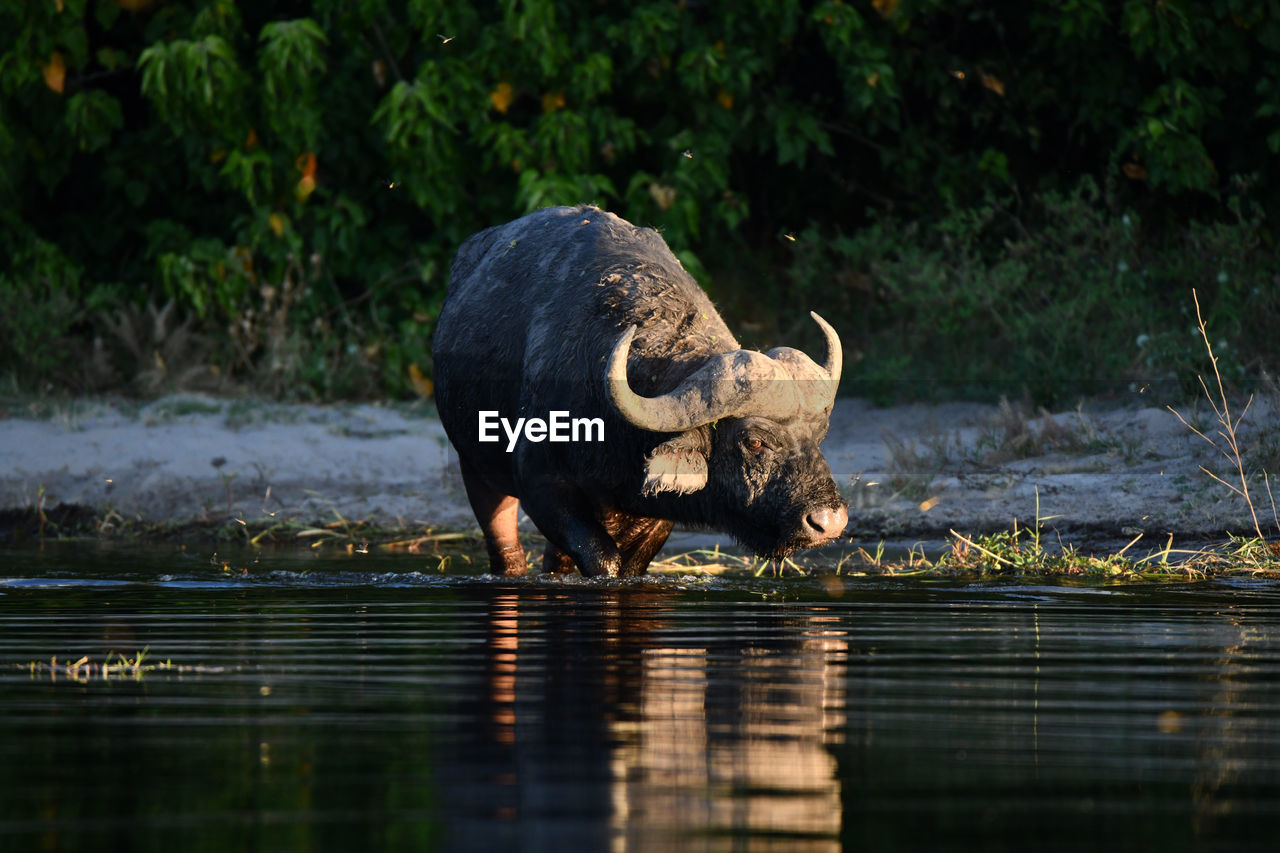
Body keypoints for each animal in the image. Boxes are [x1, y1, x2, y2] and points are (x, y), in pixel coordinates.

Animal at [432, 204, 849, 578]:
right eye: (754, 441)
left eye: (819, 436)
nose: (828, 521)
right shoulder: (541, 485)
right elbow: (603, 559)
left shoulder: (655, 511)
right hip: (475, 466)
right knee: (506, 551)